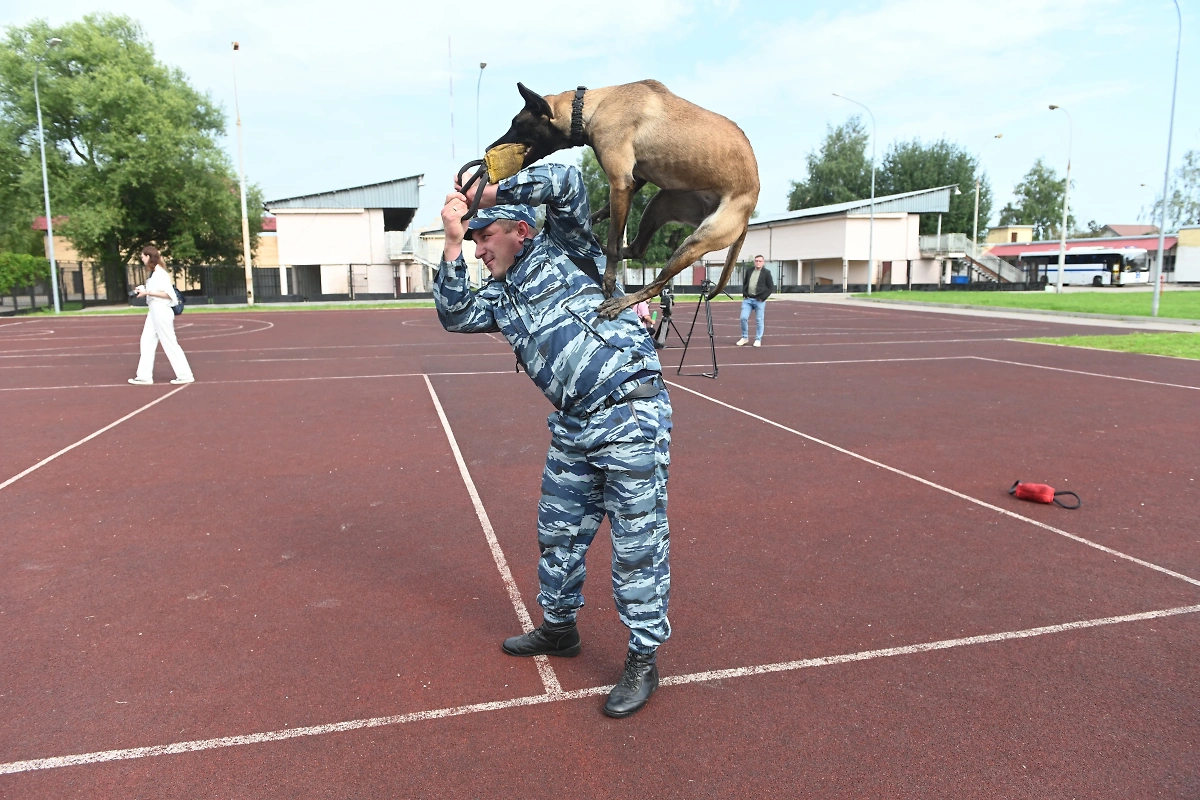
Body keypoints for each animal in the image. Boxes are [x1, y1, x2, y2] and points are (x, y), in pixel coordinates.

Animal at [487, 80, 758, 319]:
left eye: (516, 123)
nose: (489, 149)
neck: (593, 106)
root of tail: (747, 214)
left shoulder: (620, 182)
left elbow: (615, 243)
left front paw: (608, 281)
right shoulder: (634, 179)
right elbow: (608, 220)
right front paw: (590, 221)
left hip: (696, 241)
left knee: (656, 283)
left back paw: (622, 300)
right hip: (660, 204)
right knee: (637, 249)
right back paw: (597, 242)